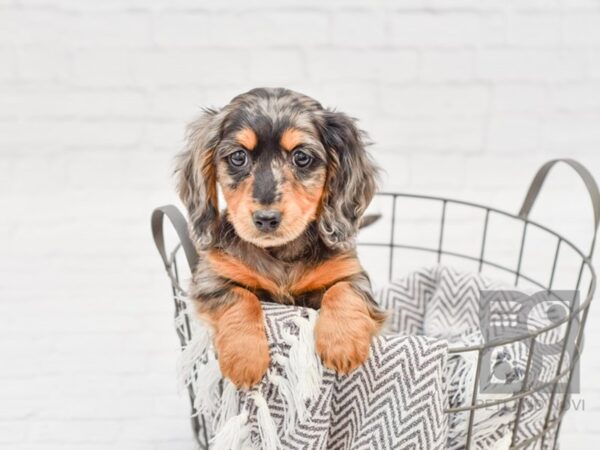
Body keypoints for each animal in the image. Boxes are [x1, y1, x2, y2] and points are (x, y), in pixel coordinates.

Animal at [176, 89, 386, 390]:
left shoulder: (351, 273)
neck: (280, 251)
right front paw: (245, 357)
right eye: (238, 156)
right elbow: (240, 297)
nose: (266, 219)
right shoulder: (210, 279)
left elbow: (344, 289)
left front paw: (342, 343)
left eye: (301, 157)